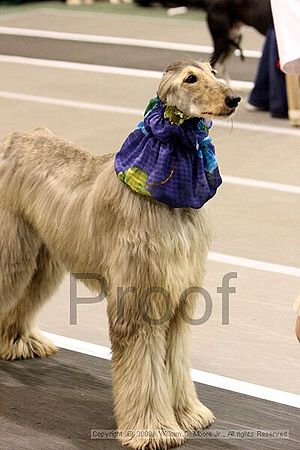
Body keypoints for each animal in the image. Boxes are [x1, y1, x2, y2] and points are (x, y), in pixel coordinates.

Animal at [0, 60, 239, 450]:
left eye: (213, 70)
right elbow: (144, 372)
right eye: (191, 78)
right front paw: (154, 429)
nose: (233, 99)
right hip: (13, 252)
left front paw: (188, 414)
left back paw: (19, 342)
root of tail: (13, 138)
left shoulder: (177, 298)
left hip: (41, 258)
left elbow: (175, 362)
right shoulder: (139, 300)